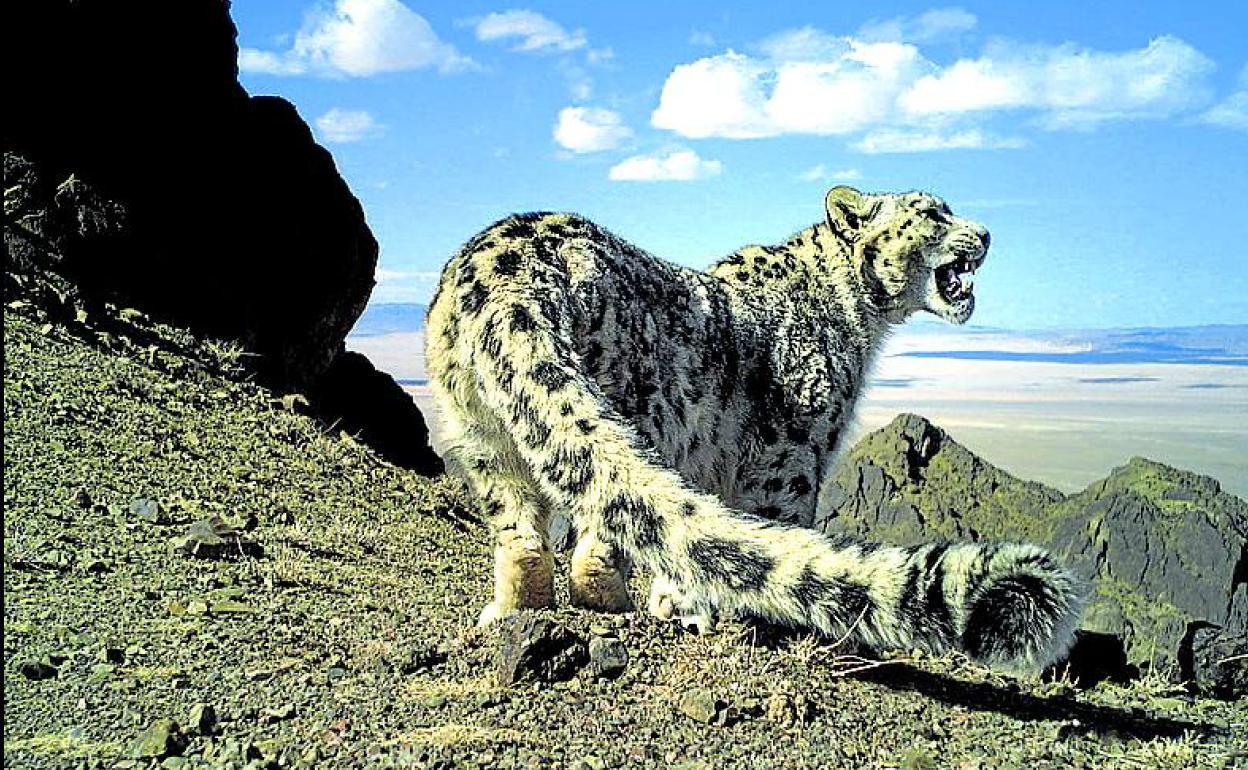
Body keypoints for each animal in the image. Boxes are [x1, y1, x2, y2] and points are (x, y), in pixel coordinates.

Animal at [424, 186, 1081, 670]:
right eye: (932, 212)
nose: (988, 234)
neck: (861, 316)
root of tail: (504, 274)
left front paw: (680, 605)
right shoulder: (795, 452)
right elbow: (779, 525)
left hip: (479, 430)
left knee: (523, 528)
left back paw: (515, 611)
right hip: (638, 408)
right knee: (602, 528)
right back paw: (612, 606)